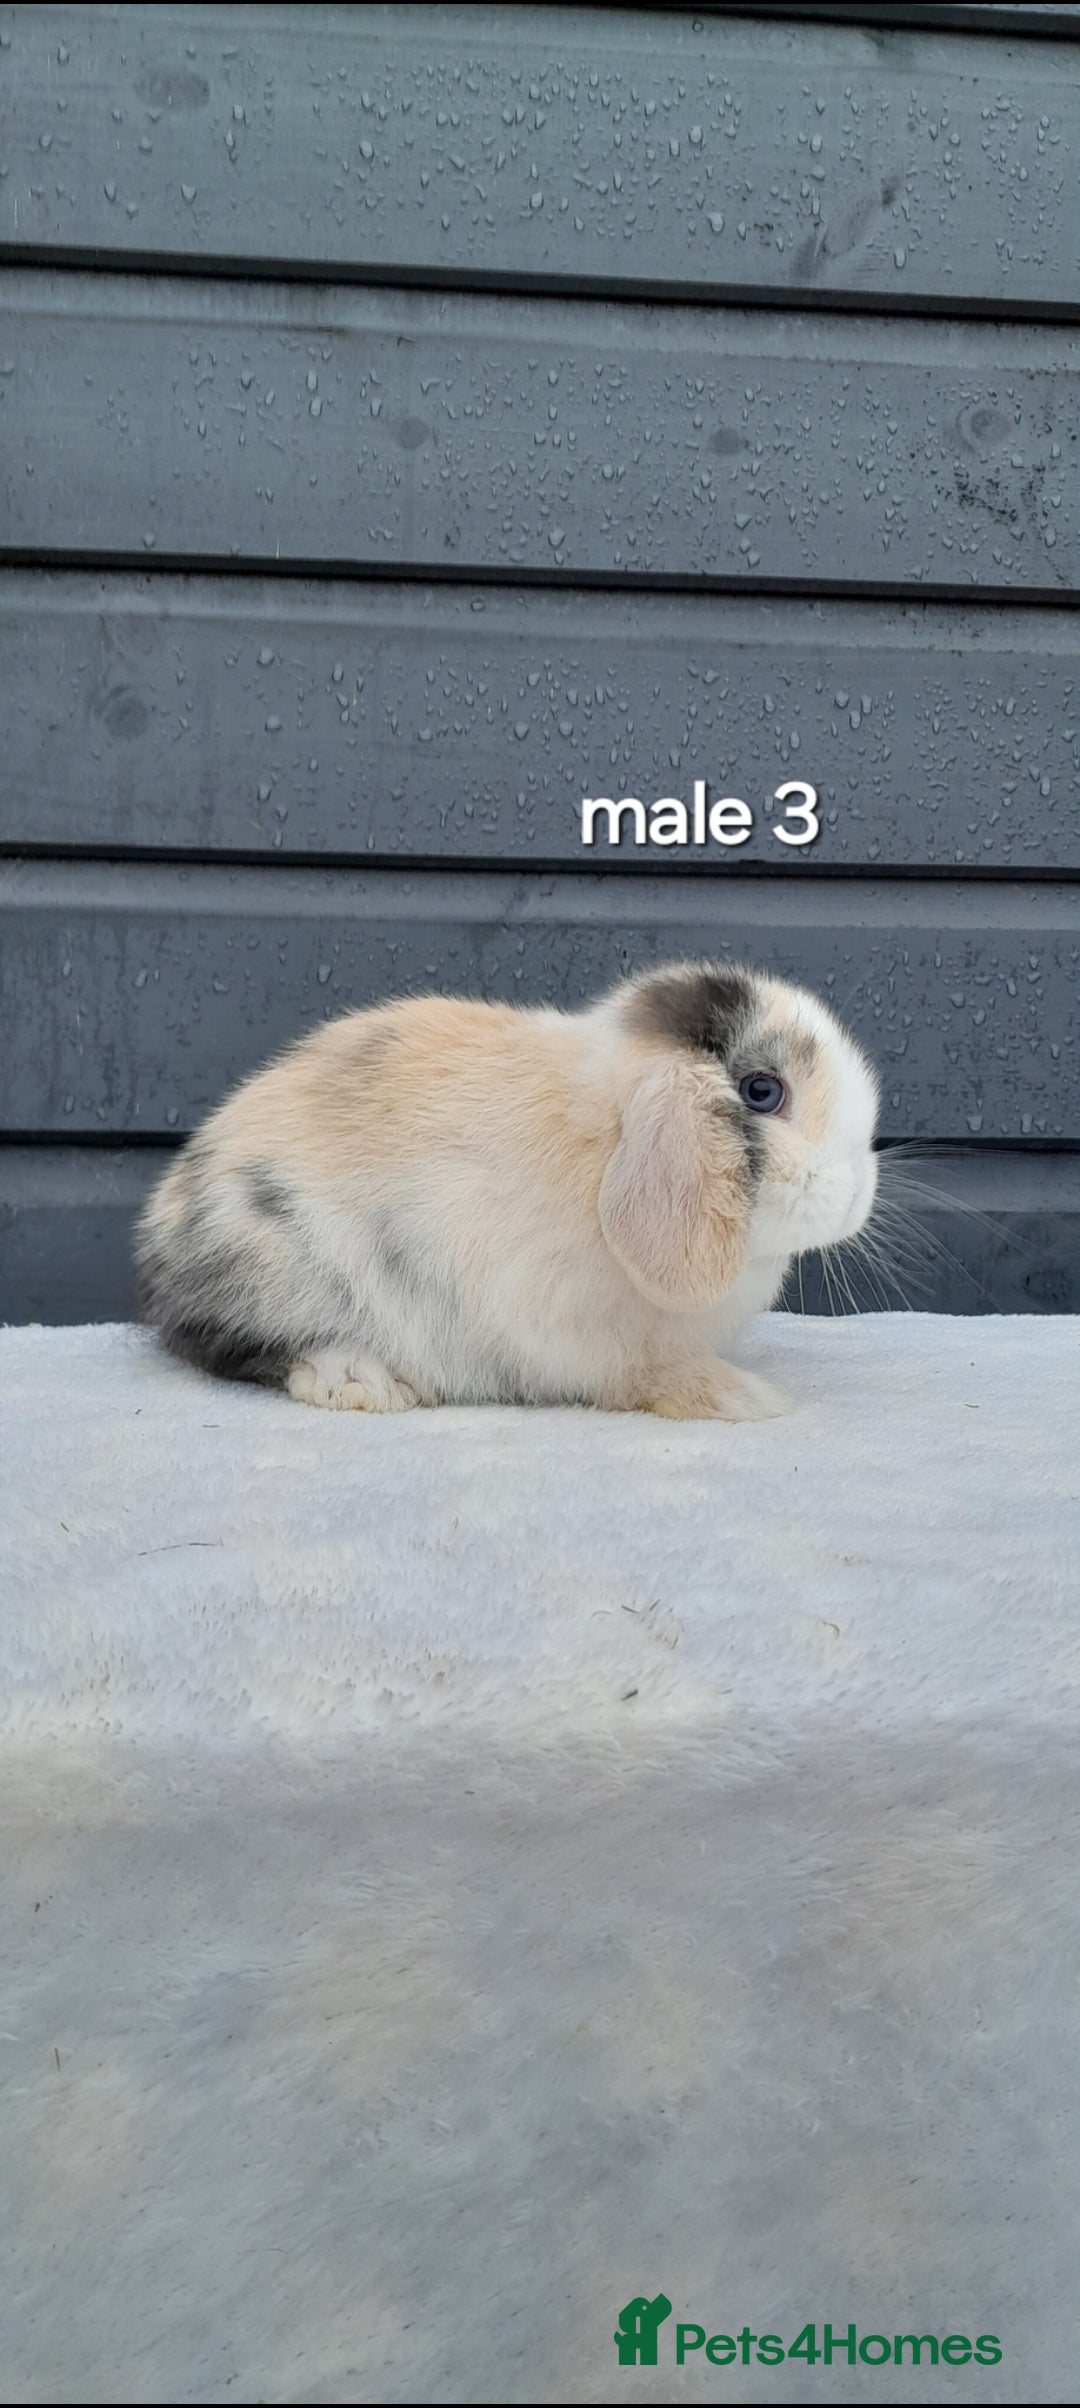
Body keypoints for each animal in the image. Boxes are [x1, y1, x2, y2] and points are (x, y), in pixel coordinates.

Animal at [136, 959, 879, 1421]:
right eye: (762, 1092)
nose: (856, 1199)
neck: (604, 1138)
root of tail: (158, 1242)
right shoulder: (583, 1339)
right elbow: (643, 1375)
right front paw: (740, 1398)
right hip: (272, 1265)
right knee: (231, 1346)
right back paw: (362, 1378)